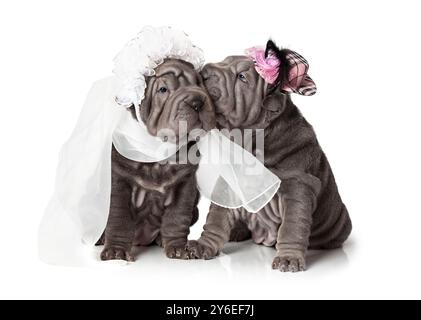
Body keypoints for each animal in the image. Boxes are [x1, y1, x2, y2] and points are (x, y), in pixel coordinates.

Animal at [99, 58, 215, 262]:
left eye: (199, 83)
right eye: (163, 89)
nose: (197, 101)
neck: (157, 152)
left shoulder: (184, 185)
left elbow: (177, 218)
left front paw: (178, 248)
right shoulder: (119, 182)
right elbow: (119, 219)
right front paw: (116, 252)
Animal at [187, 38, 352, 272]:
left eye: (242, 77)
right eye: (224, 61)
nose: (206, 71)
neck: (249, 141)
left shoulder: (298, 187)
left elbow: (293, 226)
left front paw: (289, 259)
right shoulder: (229, 184)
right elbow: (216, 219)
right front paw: (203, 245)